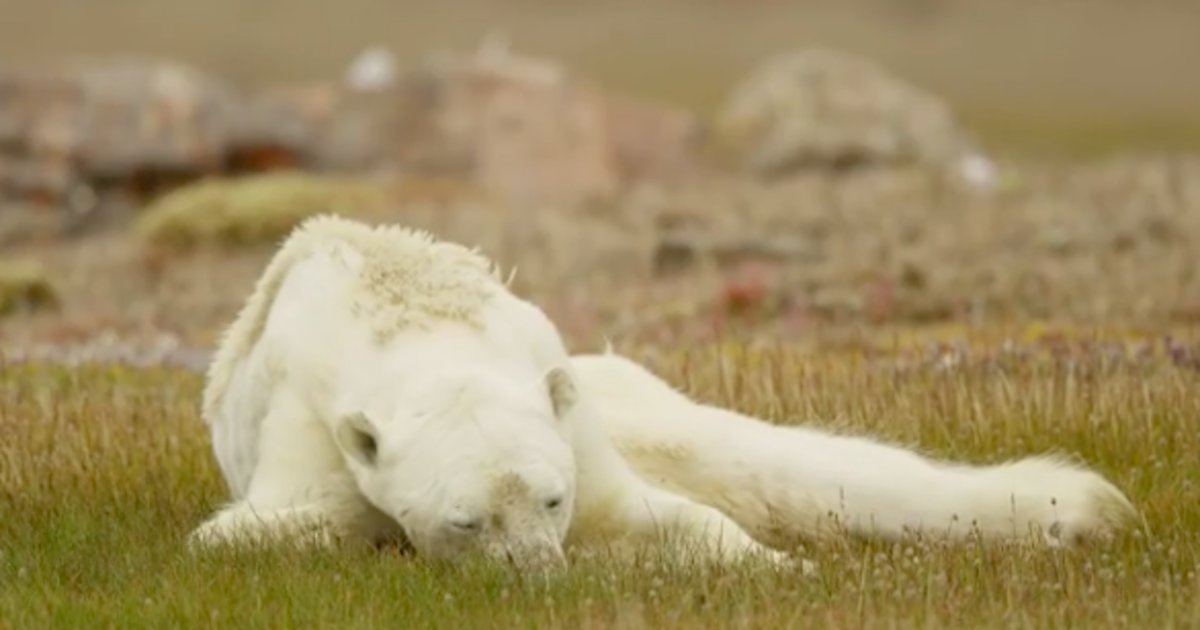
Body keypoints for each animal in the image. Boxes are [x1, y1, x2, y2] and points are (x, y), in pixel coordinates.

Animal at [190, 215, 783, 570]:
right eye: (465, 521)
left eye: (553, 499)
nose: (540, 573)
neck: (424, 331)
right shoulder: (309, 421)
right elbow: (254, 529)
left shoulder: (566, 413)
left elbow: (634, 511)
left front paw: (780, 564)